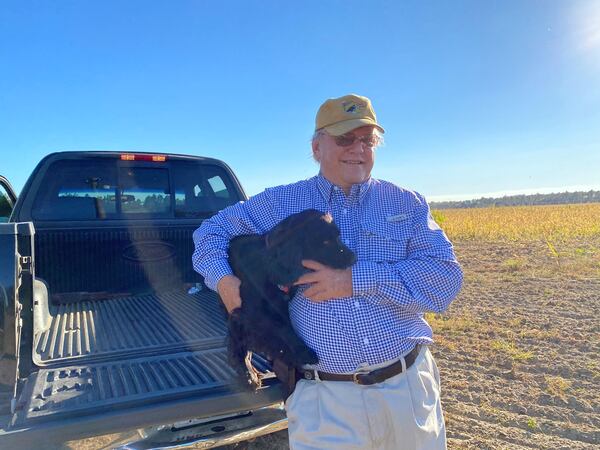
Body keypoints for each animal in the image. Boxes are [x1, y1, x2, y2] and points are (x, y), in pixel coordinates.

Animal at [225, 211, 356, 384]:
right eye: (325, 242)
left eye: (339, 237)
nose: (354, 257)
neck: (269, 265)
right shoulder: (252, 310)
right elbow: (283, 327)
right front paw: (303, 352)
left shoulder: (281, 303)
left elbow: (286, 323)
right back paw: (249, 374)